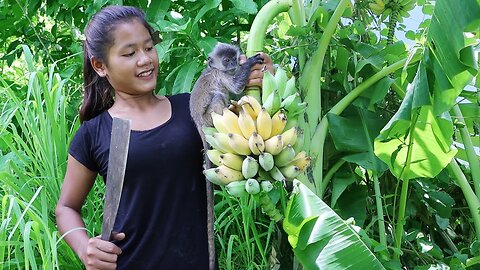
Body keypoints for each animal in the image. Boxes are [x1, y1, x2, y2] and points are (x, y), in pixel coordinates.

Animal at [188, 42, 264, 270]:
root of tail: (199, 124)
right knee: (218, 96)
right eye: (226, 60)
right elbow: (236, 88)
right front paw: (250, 62)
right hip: (209, 118)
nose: (233, 63)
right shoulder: (220, 76)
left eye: (232, 57)